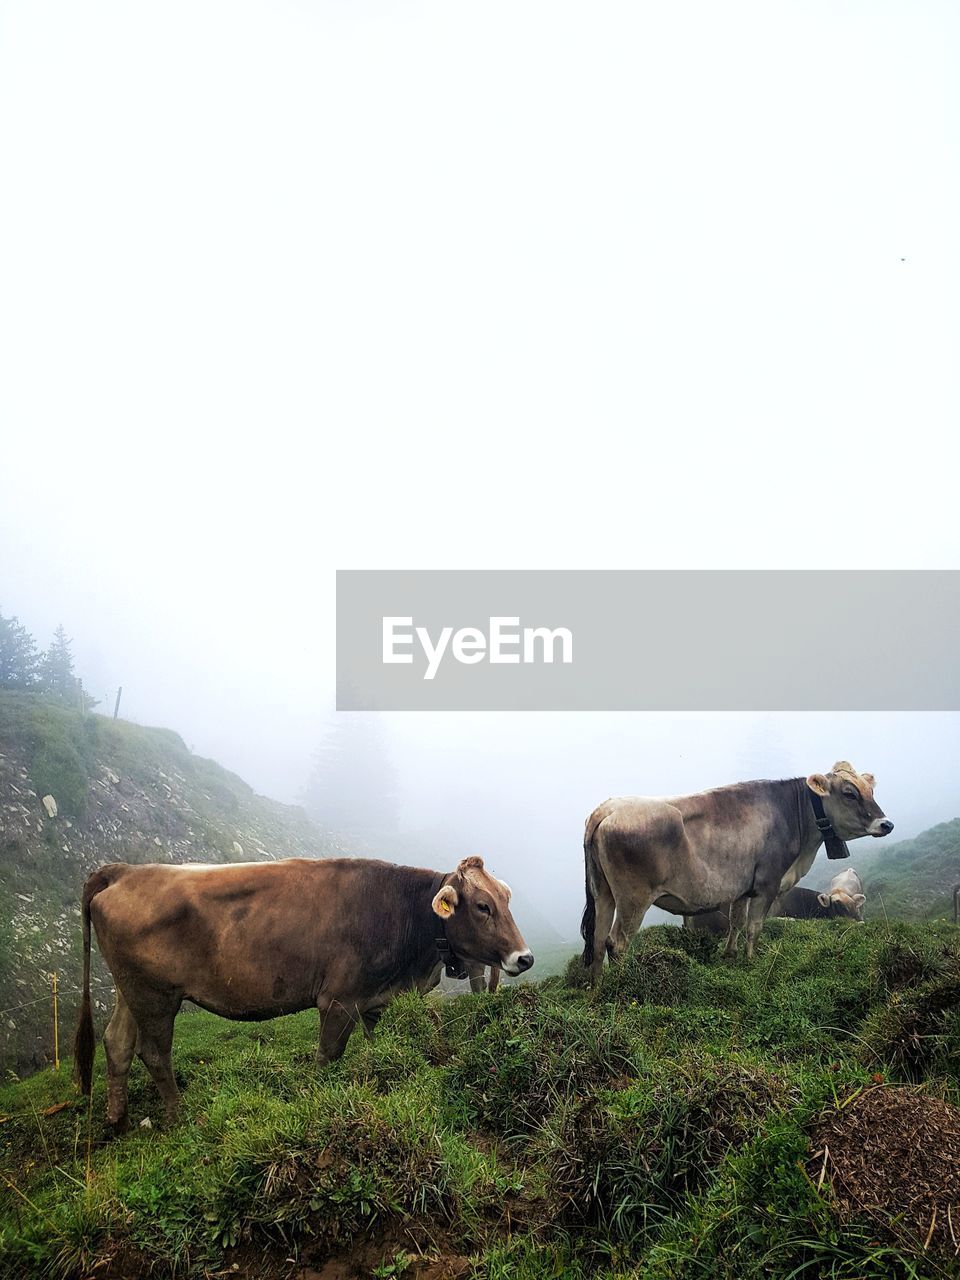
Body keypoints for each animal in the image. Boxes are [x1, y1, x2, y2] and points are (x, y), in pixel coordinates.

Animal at [75, 855, 535, 1126]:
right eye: (483, 906)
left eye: (506, 899)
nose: (524, 958)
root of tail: (126, 870)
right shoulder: (339, 999)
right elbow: (327, 1056)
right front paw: (319, 1099)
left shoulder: (377, 999)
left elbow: (376, 1043)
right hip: (155, 995)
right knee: (153, 1053)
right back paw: (178, 1118)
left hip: (129, 990)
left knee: (117, 1043)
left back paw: (117, 1119)